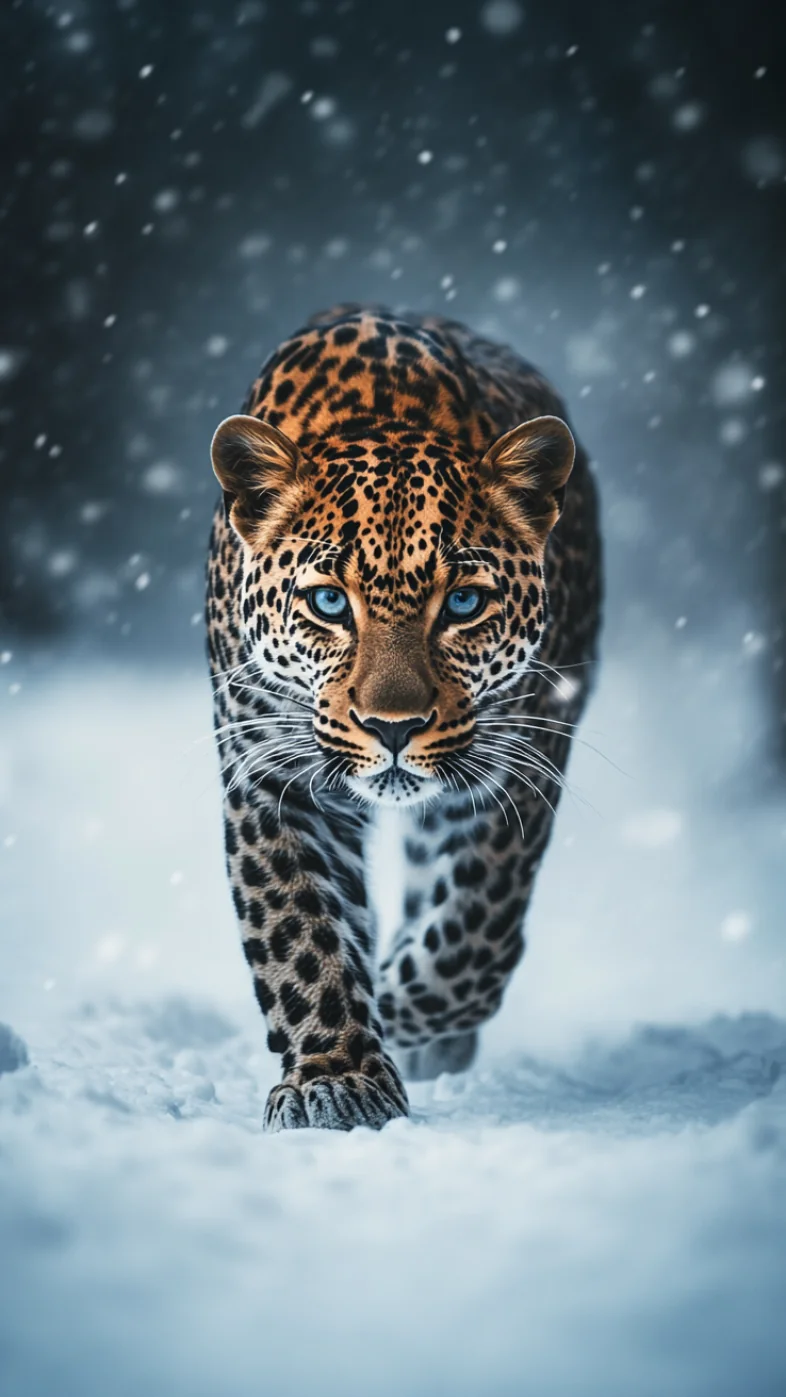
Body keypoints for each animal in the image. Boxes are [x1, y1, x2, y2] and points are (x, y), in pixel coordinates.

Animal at [206, 303, 601, 1132]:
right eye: (329, 601)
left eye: (464, 602)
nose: (393, 726)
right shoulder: (273, 775)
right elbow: (300, 929)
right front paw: (340, 1074)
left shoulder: (519, 768)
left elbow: (474, 936)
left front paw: (398, 1009)